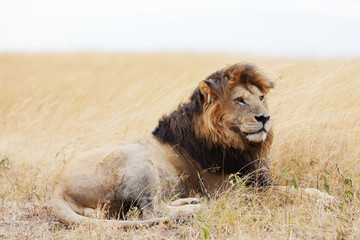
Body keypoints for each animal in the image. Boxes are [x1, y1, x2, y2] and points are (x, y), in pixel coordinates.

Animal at [51, 62, 334, 226]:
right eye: (240, 100)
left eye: (261, 98)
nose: (265, 118)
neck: (237, 143)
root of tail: (57, 186)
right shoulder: (237, 189)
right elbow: (287, 192)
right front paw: (325, 200)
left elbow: (299, 189)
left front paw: (325, 196)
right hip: (138, 159)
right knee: (154, 211)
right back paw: (200, 209)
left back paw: (190, 203)